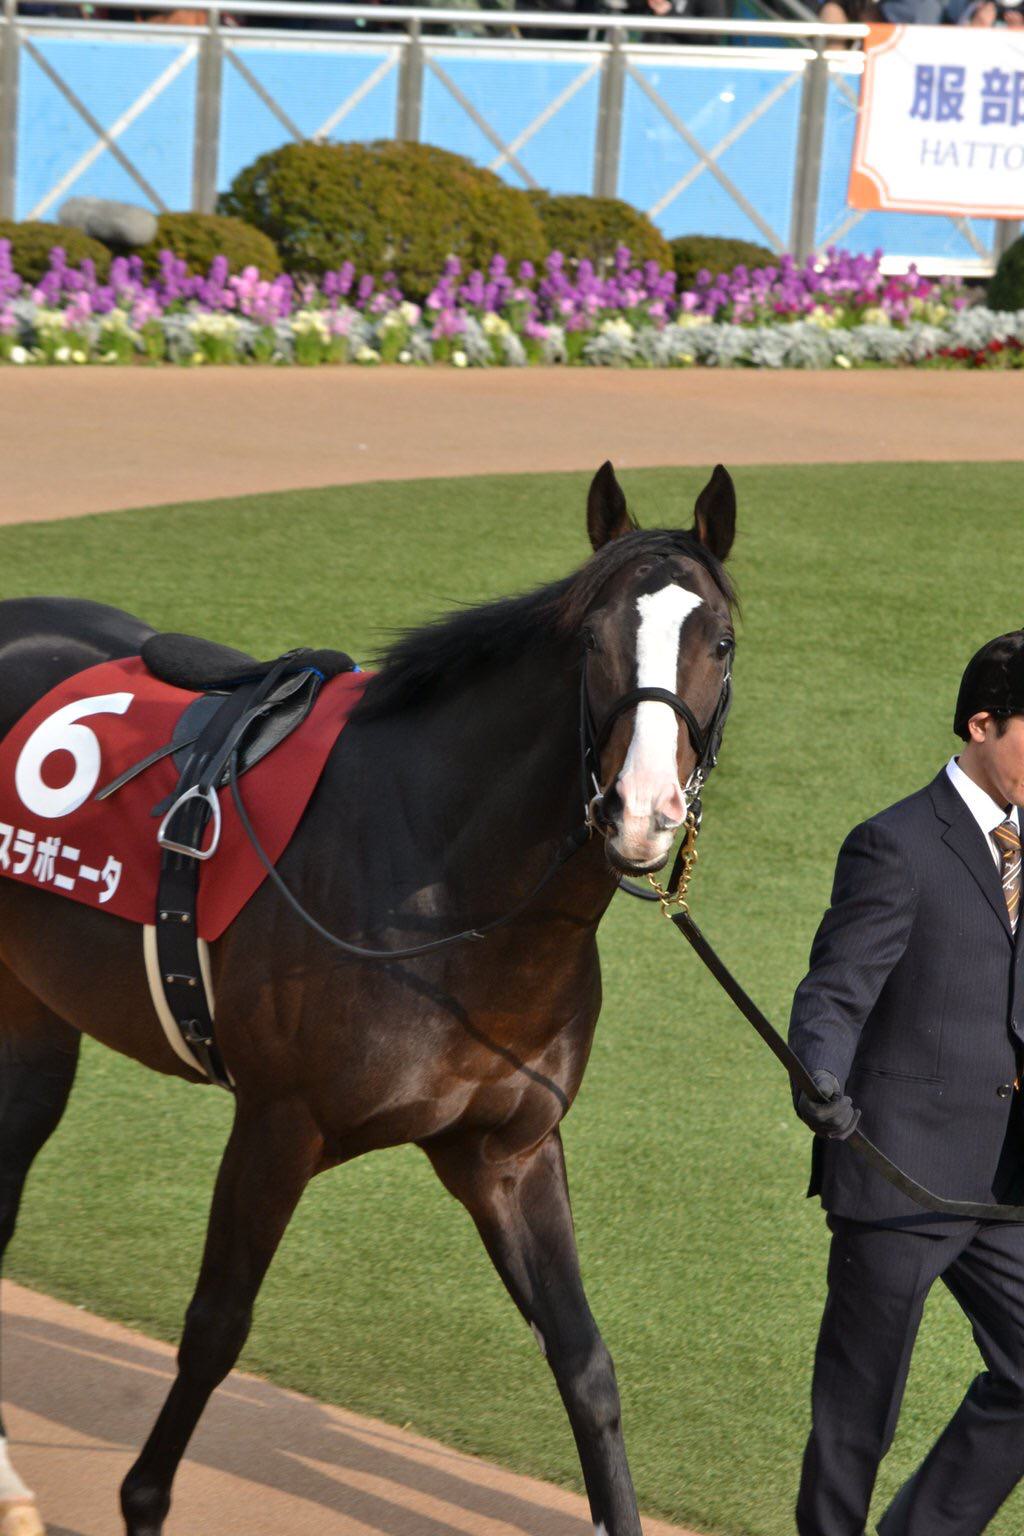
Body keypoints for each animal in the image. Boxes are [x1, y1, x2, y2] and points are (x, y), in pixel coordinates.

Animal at [0, 460, 737, 1536]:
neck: (450, 894)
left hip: (33, 1017)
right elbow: (215, 1331)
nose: (641, 813)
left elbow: (585, 1364)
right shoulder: (278, 1123)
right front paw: (142, 1497)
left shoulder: (506, 1152)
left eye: (718, 641)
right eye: (592, 639)